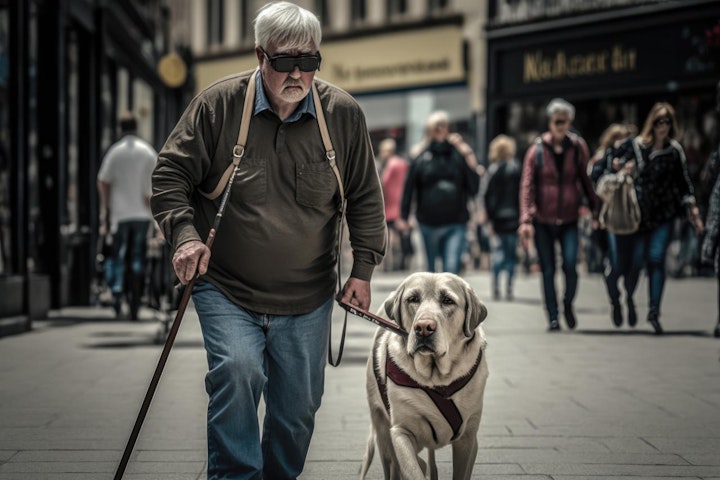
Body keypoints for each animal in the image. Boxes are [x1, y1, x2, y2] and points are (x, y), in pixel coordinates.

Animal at [360, 272, 490, 480]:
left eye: (448, 300)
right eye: (412, 299)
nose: (423, 327)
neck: (437, 380)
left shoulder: (468, 438)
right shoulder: (400, 432)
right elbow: (413, 470)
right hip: (382, 430)